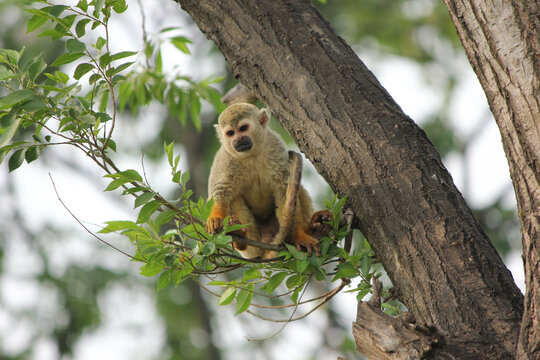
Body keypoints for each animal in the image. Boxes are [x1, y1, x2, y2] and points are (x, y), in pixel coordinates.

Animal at [207, 102, 324, 258]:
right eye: (230, 133)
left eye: (243, 128)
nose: (238, 140)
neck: (251, 154)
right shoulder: (225, 158)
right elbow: (221, 189)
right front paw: (215, 217)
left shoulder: (274, 143)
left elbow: (283, 188)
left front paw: (299, 235)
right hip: (252, 246)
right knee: (234, 198)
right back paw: (239, 237)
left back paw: (309, 227)